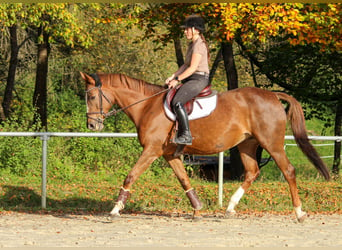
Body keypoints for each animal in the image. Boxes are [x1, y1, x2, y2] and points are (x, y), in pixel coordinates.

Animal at [80, 72, 328, 223]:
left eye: (91, 96)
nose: (92, 125)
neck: (147, 105)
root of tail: (273, 95)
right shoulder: (169, 155)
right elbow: (184, 180)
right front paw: (197, 209)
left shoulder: (151, 150)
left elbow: (130, 176)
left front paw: (115, 209)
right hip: (247, 144)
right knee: (252, 172)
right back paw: (230, 207)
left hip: (272, 144)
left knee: (288, 171)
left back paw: (299, 212)